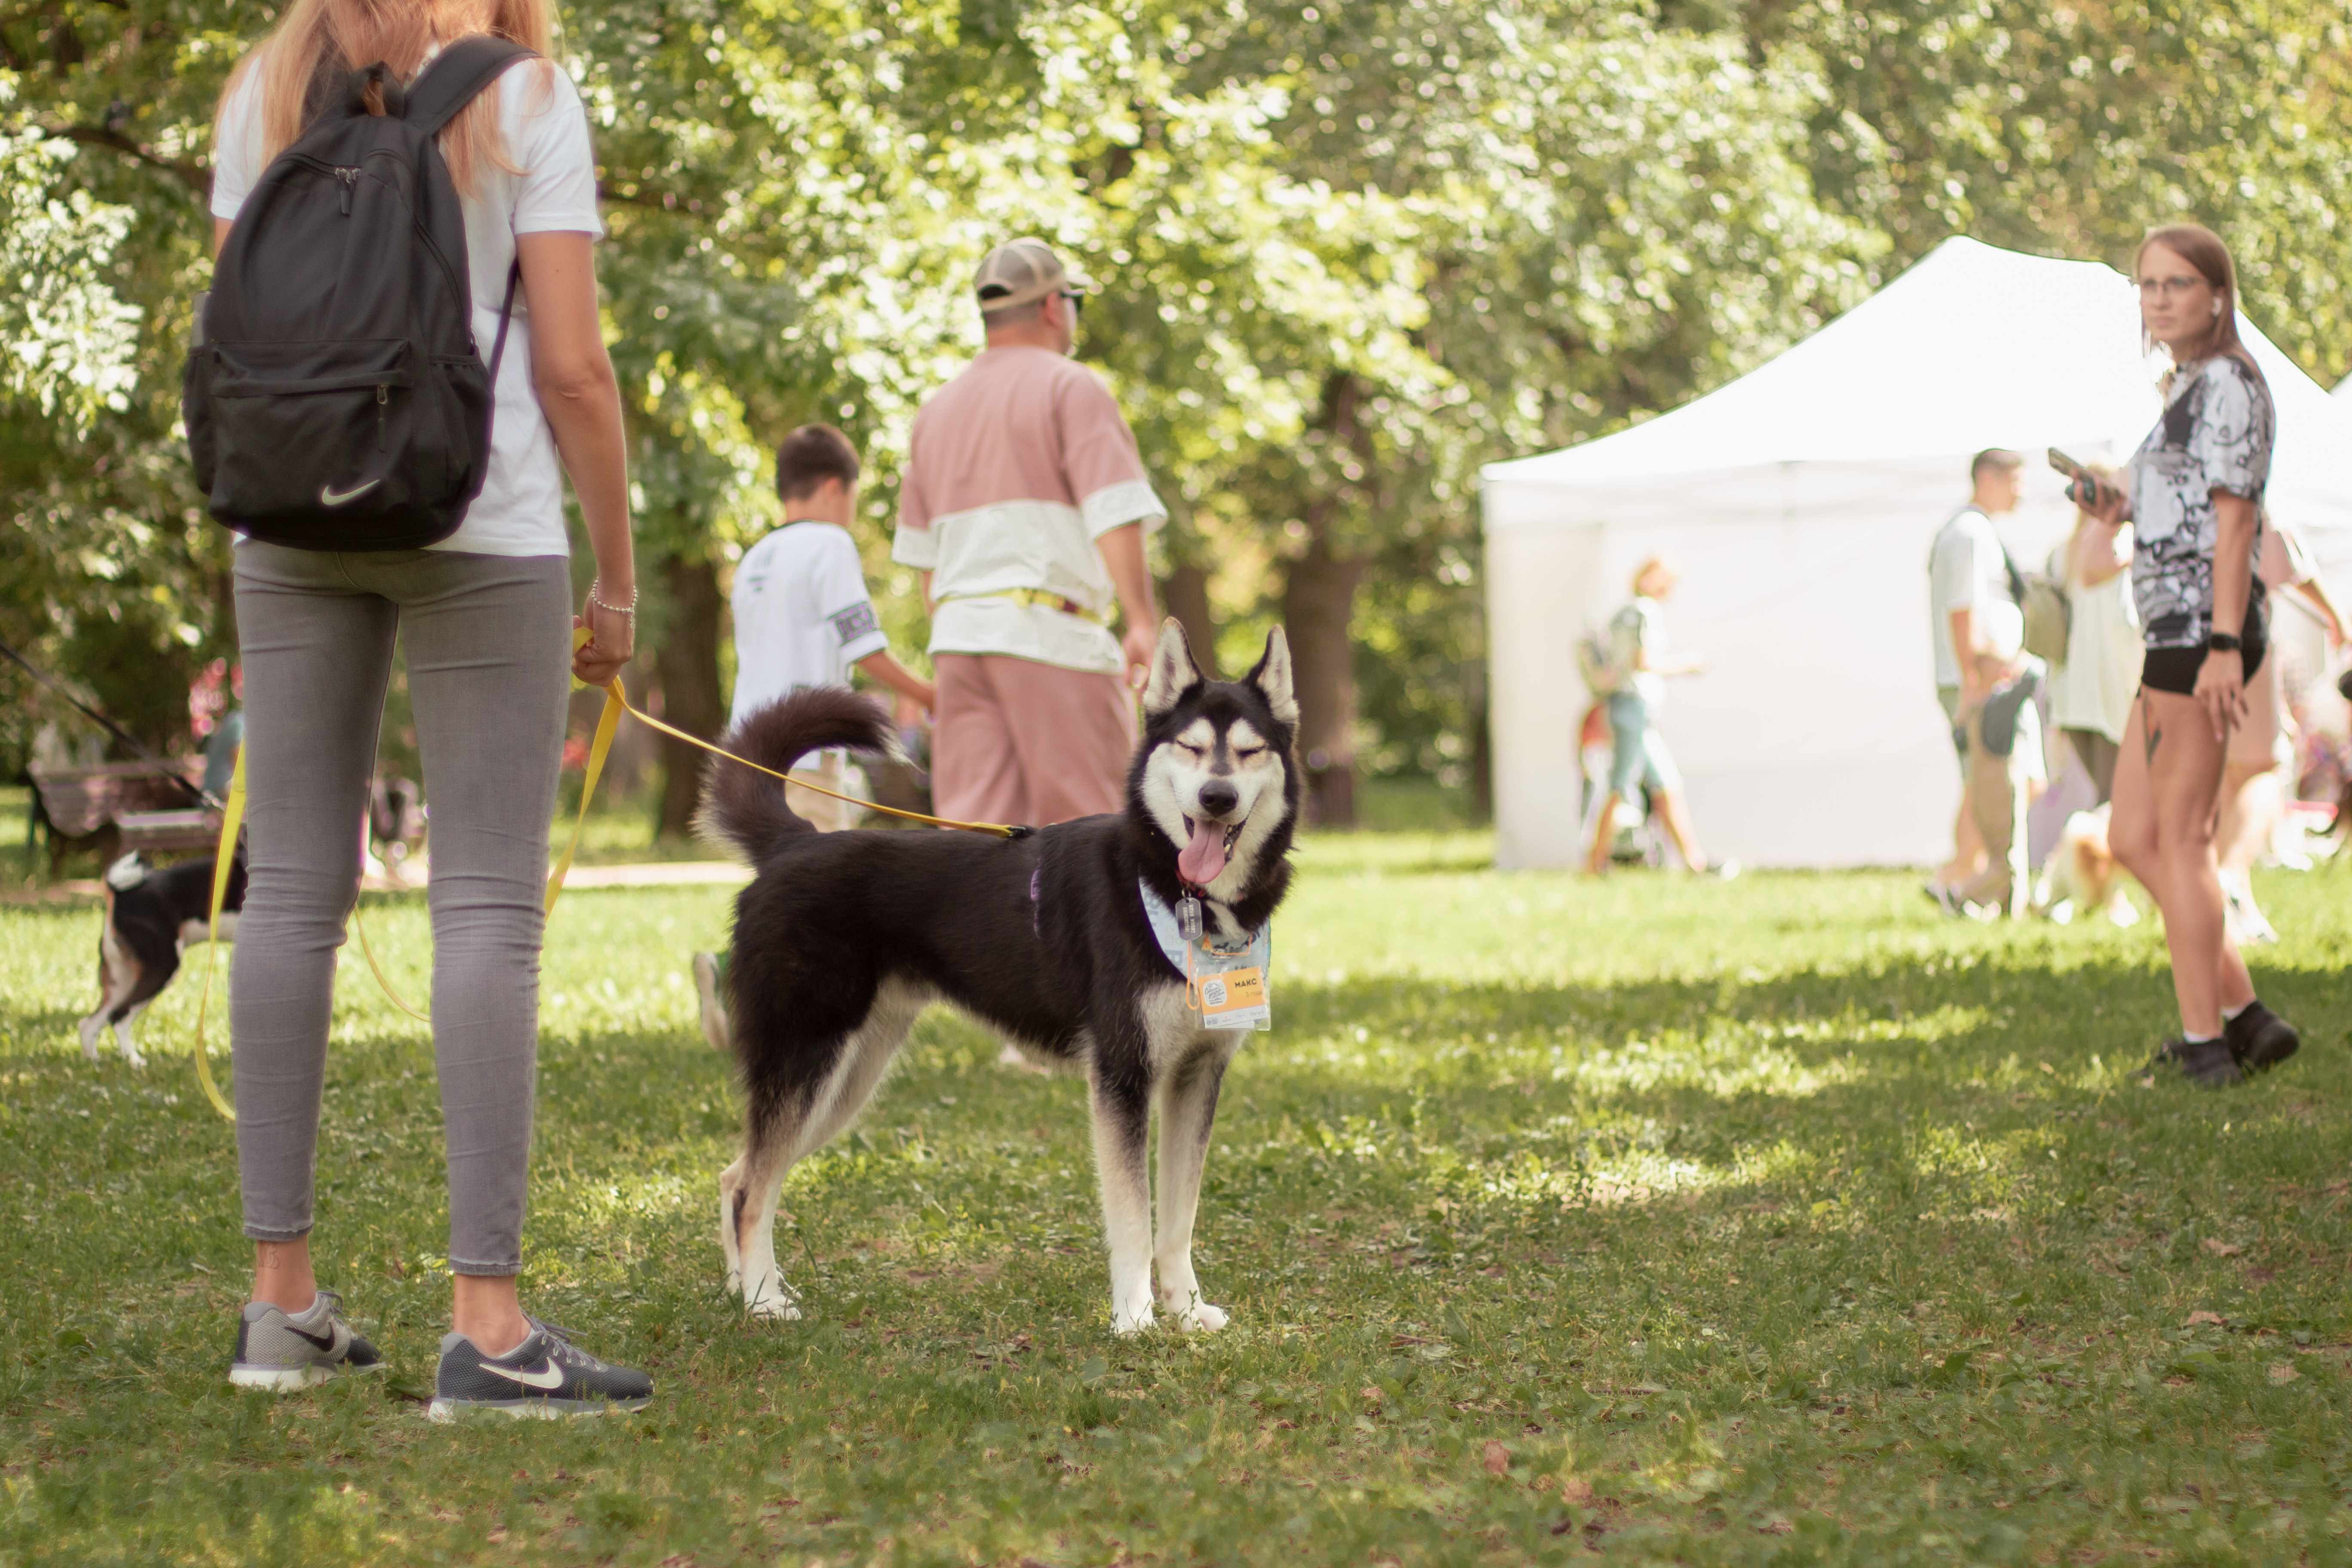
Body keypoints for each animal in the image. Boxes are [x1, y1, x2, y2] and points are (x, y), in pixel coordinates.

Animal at [76, 851, 245, 1072]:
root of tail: (122, 895)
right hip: (163, 968)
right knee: (119, 1018)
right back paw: (135, 1062)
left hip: (121, 980)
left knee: (89, 1024)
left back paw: (95, 1065)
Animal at [696, 620, 1308, 1335]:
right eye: (1191, 746)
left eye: (1249, 751)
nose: (1217, 797)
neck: (1175, 889)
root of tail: (795, 843)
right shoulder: (1122, 1078)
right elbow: (1133, 1216)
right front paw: (1134, 1318)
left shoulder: (1197, 1077)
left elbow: (1177, 1219)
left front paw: (1185, 1311)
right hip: (807, 1061)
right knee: (751, 1190)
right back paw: (765, 1301)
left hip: (847, 1079)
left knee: (734, 1177)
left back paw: (742, 1291)